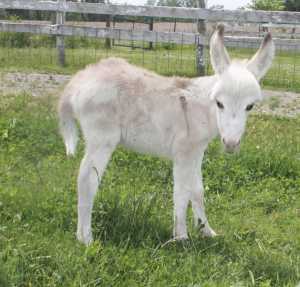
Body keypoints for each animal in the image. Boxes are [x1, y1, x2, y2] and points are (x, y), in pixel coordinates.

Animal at [58, 25, 274, 245]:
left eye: (250, 106)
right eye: (219, 103)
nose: (230, 144)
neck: (203, 109)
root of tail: (80, 79)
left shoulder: (196, 152)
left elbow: (197, 191)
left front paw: (206, 231)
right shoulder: (183, 153)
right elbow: (181, 192)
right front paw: (181, 238)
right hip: (102, 138)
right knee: (87, 180)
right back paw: (86, 239)